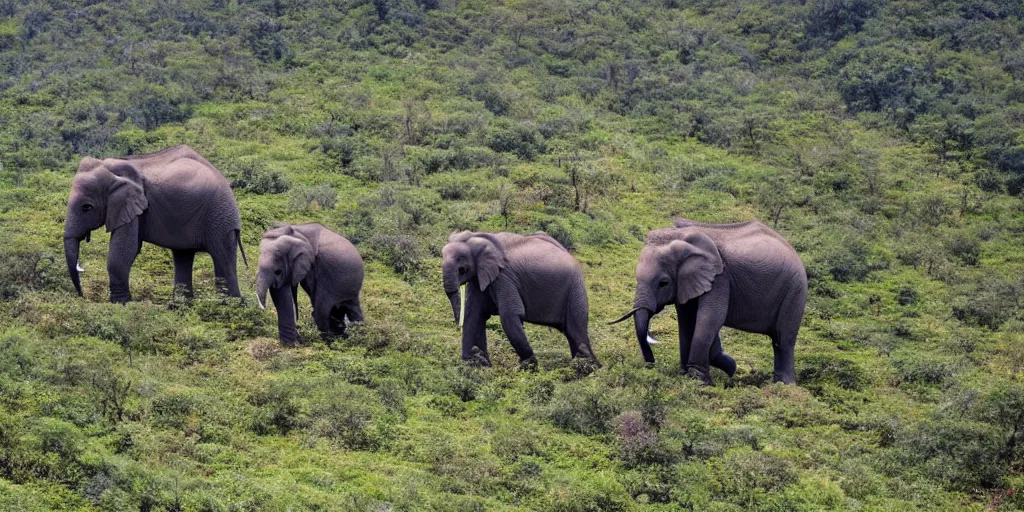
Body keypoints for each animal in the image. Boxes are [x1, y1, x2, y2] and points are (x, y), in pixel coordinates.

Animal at [64, 145, 247, 303]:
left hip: (220, 217)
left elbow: (125, 250)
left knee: (222, 257)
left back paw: (230, 307)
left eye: (87, 207)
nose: (82, 295)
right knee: (183, 256)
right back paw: (179, 307)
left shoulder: (133, 205)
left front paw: (120, 304)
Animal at [442, 231, 598, 368]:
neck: (477, 237)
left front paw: (529, 367)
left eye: (461, 263)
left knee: (575, 330)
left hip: (575, 288)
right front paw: (478, 366)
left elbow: (509, 315)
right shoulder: (479, 277)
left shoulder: (504, 276)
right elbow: (474, 316)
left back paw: (589, 367)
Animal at [606, 219, 806, 385]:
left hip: (795, 291)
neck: (681, 236)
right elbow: (688, 321)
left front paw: (700, 381)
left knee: (783, 340)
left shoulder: (720, 277)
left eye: (663, 283)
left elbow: (710, 318)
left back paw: (785, 386)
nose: (651, 366)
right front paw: (690, 374)